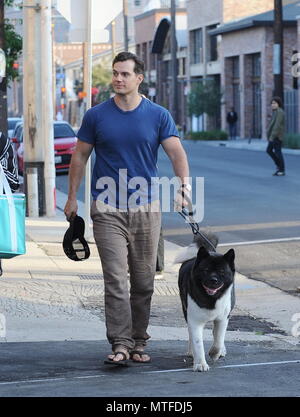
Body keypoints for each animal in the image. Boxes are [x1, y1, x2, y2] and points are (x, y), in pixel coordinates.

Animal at [177, 232, 236, 372]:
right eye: (206, 270)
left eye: (222, 272)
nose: (213, 280)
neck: (211, 298)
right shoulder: (194, 320)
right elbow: (197, 342)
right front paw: (200, 364)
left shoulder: (223, 319)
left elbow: (219, 339)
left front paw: (215, 353)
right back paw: (191, 352)